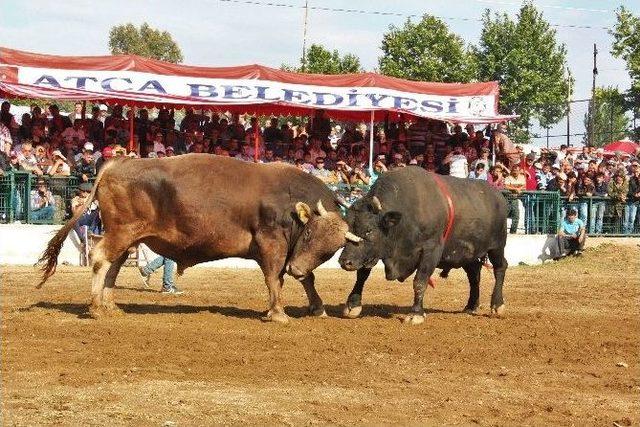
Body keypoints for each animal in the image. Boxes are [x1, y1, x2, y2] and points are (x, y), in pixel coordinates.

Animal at [38, 155, 350, 324]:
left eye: (330, 251)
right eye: (309, 233)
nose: (297, 267)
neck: (289, 199)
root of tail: (121, 162)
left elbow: (306, 278)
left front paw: (316, 307)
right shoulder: (272, 244)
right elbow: (275, 278)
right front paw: (278, 313)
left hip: (127, 237)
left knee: (113, 265)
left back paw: (110, 305)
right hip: (121, 232)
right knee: (101, 259)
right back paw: (95, 307)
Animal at [338, 167, 508, 324]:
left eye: (369, 230)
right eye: (348, 227)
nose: (344, 261)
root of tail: (498, 196)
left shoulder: (431, 250)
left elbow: (420, 281)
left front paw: (416, 313)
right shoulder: (370, 254)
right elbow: (362, 275)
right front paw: (353, 305)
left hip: (497, 246)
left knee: (500, 267)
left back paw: (497, 305)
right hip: (468, 254)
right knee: (474, 274)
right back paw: (471, 305)